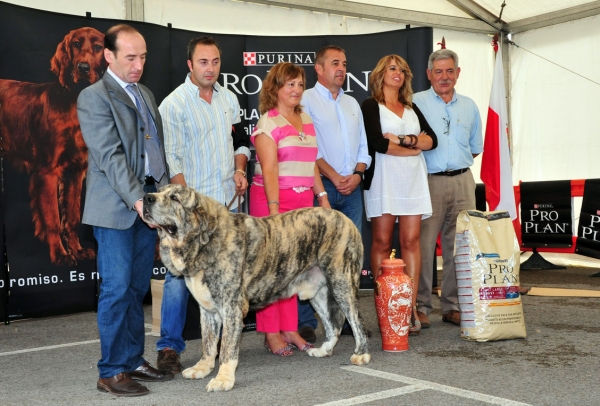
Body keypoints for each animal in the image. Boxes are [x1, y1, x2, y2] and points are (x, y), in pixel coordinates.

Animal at [144, 186, 370, 392]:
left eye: (174, 198)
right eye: (160, 190)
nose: (147, 198)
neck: (203, 241)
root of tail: (346, 220)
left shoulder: (232, 309)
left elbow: (226, 349)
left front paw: (223, 379)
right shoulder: (208, 311)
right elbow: (208, 344)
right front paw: (203, 368)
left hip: (342, 283)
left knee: (356, 321)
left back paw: (362, 354)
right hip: (318, 293)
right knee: (334, 325)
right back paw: (324, 350)